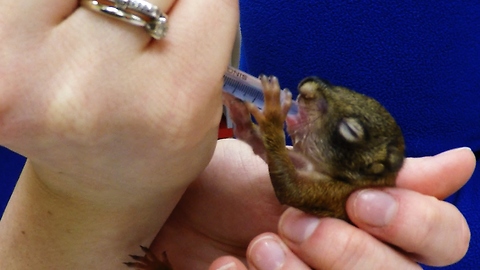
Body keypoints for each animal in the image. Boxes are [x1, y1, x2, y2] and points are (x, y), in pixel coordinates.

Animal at [124, 74, 404, 270]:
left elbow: (291, 190)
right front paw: (240, 112)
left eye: (351, 131)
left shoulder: (334, 196)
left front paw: (271, 115)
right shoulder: (307, 164)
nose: (306, 87)